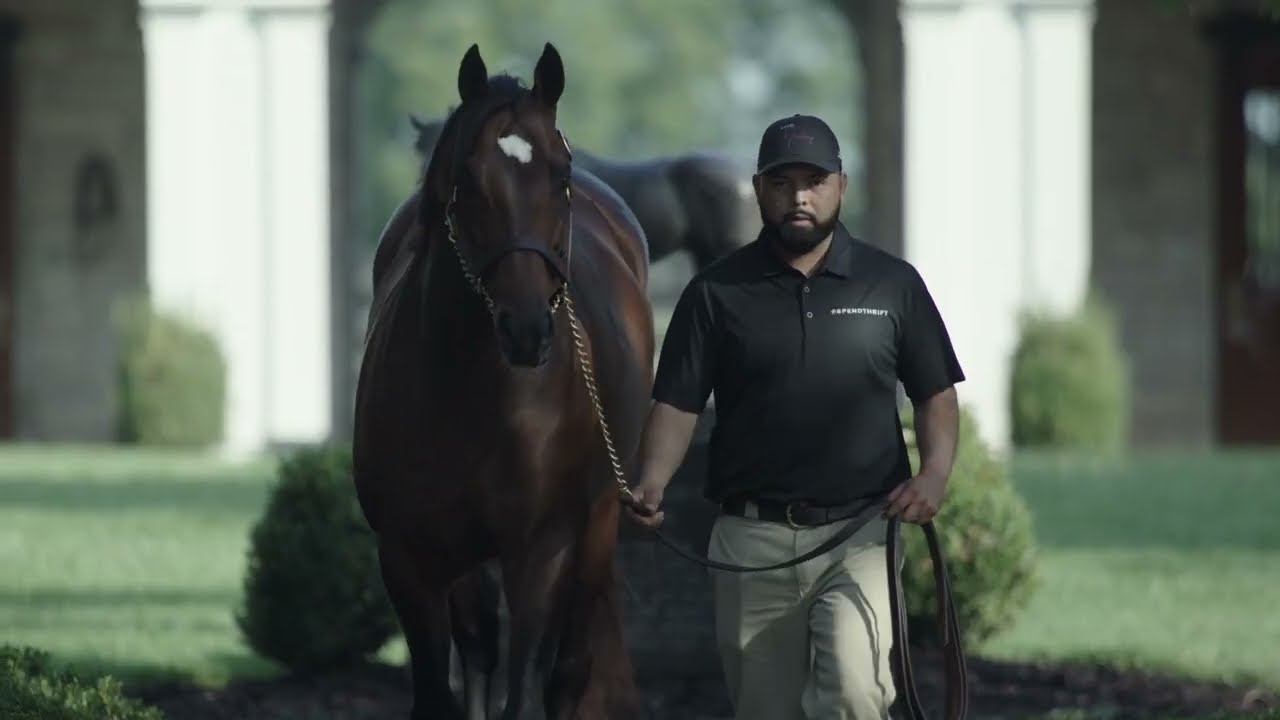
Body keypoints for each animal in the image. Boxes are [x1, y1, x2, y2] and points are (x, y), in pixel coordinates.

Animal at [353, 42, 655, 720]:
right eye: (468, 180)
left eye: (561, 176)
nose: (526, 329)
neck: (471, 390)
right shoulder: (409, 555)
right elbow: (442, 686)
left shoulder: (540, 550)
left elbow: (528, 689)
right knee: (482, 646)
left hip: (599, 525)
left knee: (567, 671)